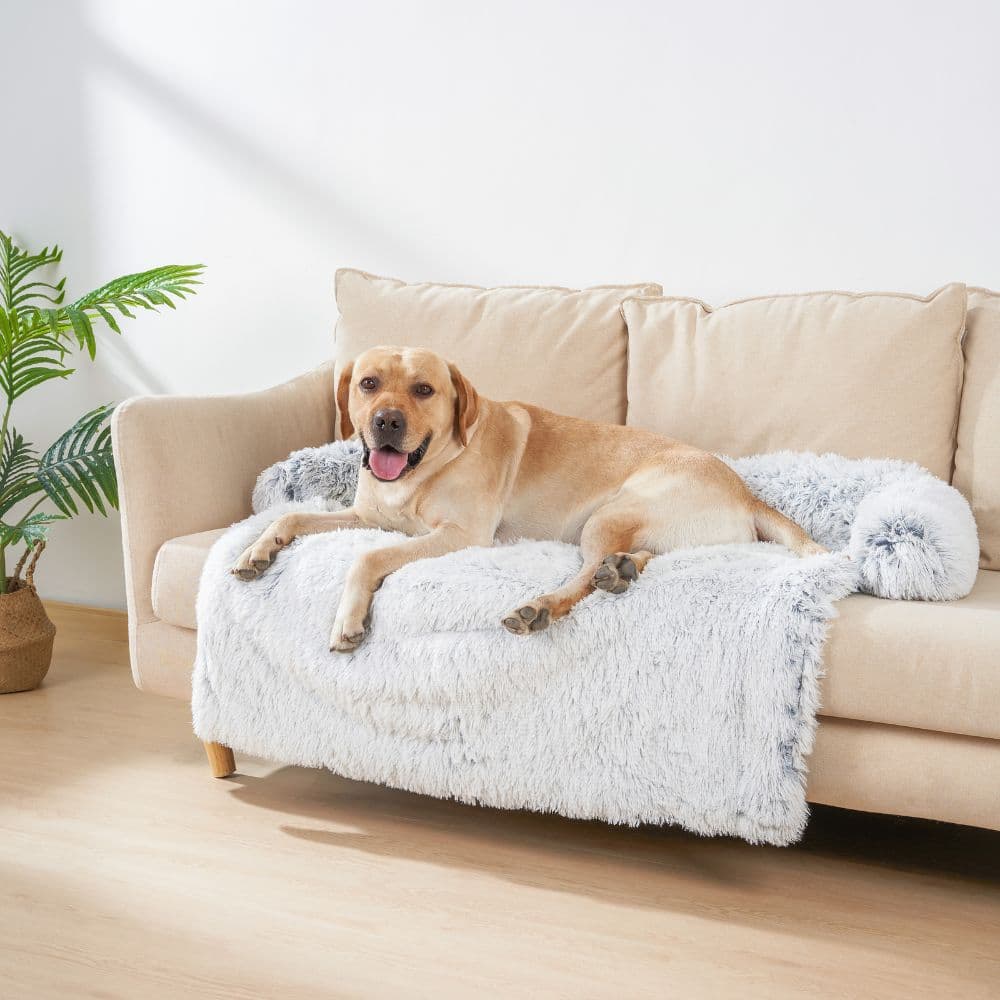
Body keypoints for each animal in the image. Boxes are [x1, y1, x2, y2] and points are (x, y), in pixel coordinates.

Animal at [234, 348, 828, 652]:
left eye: (424, 390)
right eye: (368, 383)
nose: (386, 421)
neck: (426, 467)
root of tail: (746, 492)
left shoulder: (459, 536)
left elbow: (367, 557)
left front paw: (348, 620)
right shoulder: (365, 515)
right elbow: (292, 514)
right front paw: (256, 552)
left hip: (609, 514)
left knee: (583, 576)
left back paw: (543, 605)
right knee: (638, 558)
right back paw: (621, 571)